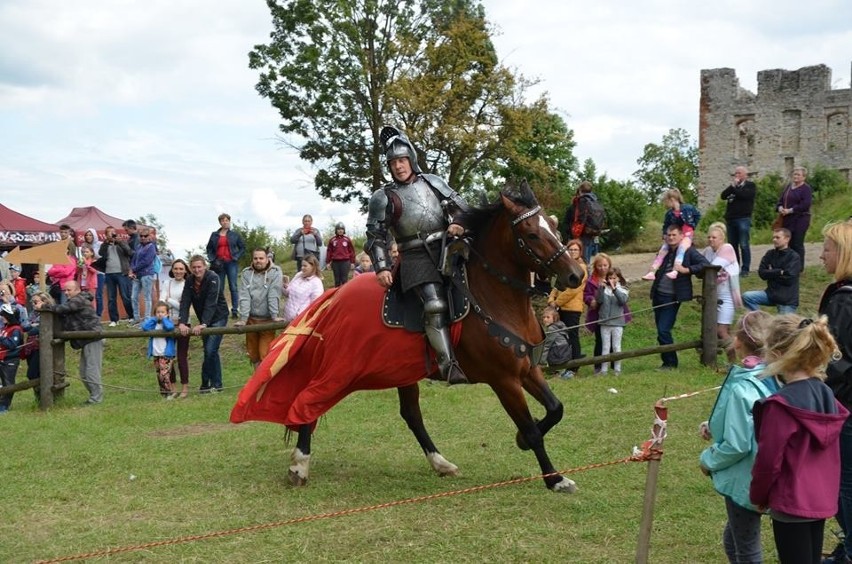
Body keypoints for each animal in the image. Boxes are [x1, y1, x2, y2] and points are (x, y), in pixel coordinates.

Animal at [230, 180, 584, 490]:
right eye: (532, 233)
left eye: (555, 228)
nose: (575, 275)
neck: (495, 297)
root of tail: (335, 295)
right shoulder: (504, 380)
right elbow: (533, 429)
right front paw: (553, 478)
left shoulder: (527, 369)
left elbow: (556, 409)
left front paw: (524, 443)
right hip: (339, 368)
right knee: (309, 399)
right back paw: (299, 465)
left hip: (399, 369)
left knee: (411, 415)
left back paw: (441, 463)